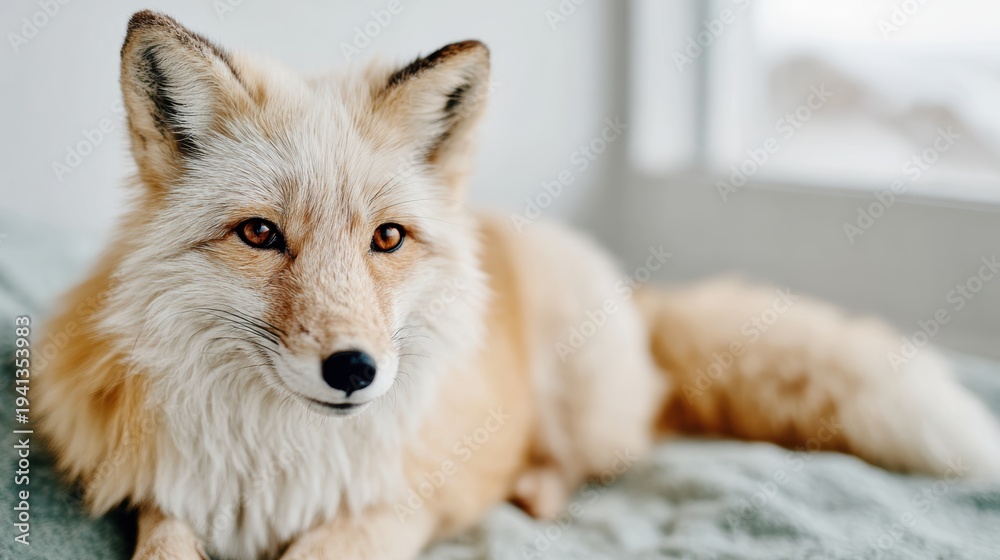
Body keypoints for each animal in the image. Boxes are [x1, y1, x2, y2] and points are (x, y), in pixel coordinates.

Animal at [35, 10, 1000, 560]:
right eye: (260, 235)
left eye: (387, 238)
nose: (354, 371)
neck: (279, 463)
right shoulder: (166, 496)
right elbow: (164, 548)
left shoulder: (398, 506)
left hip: (581, 396)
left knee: (608, 451)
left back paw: (533, 489)